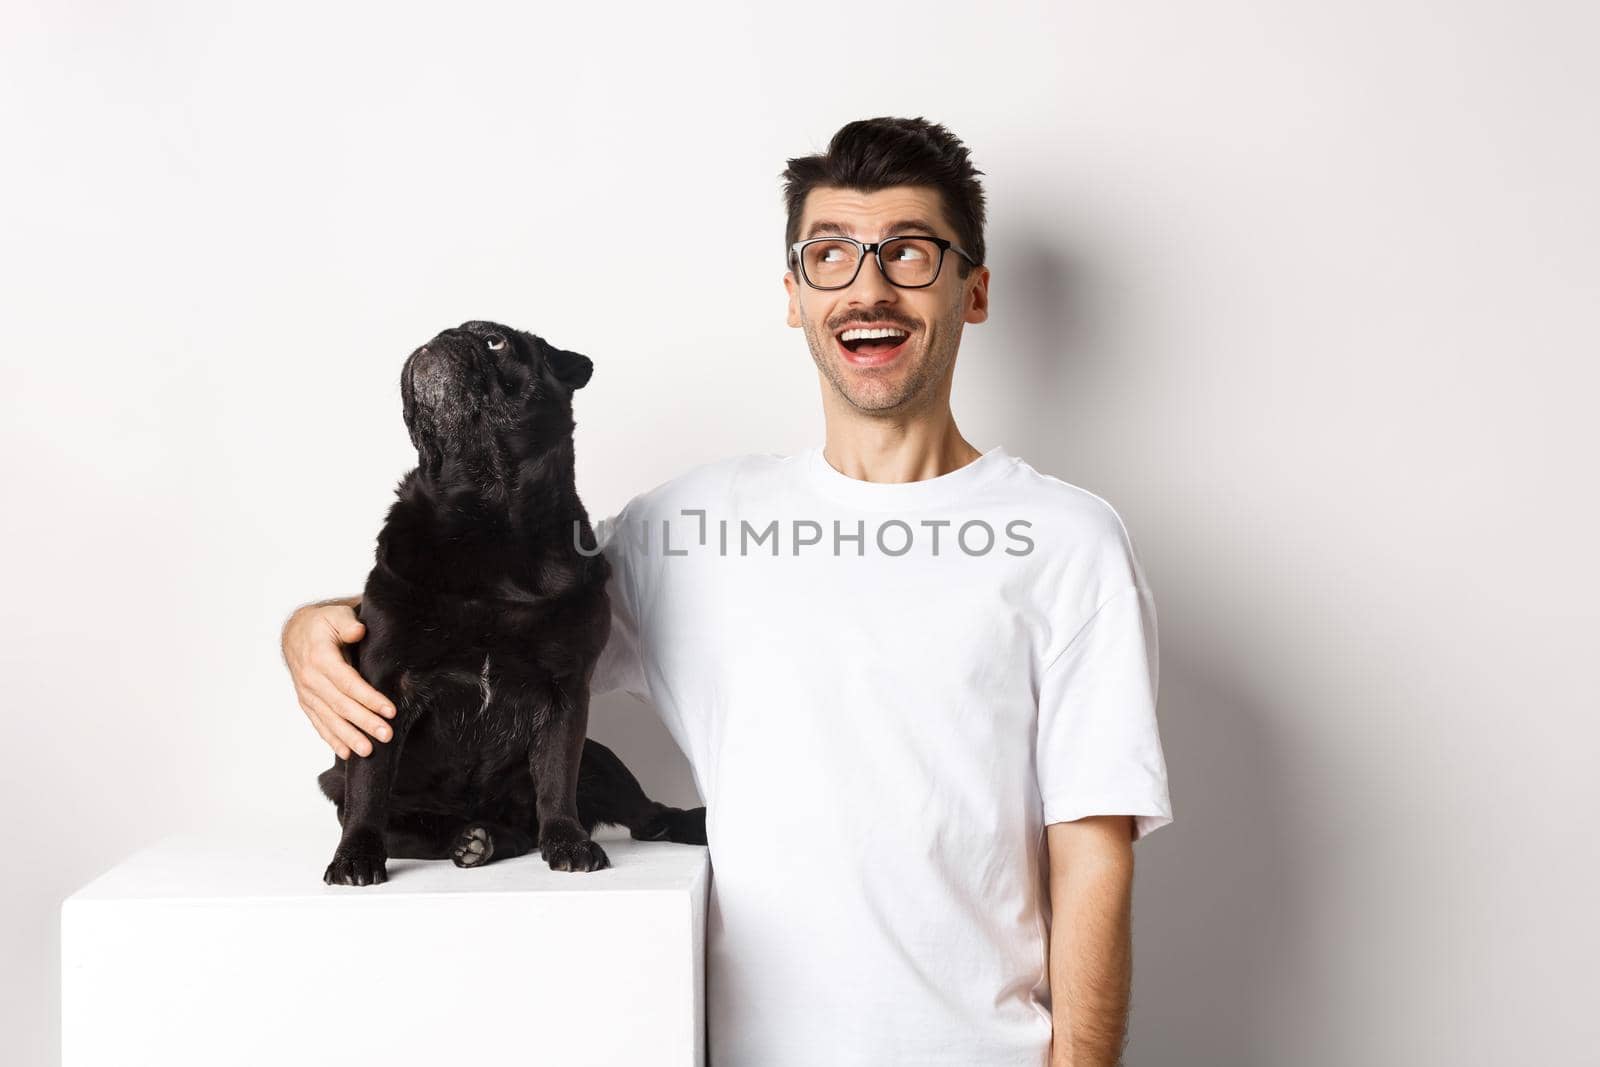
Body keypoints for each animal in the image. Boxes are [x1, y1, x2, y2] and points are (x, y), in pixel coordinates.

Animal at [318, 321, 707, 889]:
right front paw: (355, 856)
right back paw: (475, 839)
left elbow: (557, 779)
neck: (483, 513)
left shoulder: (566, 694)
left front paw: (568, 841)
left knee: (644, 817)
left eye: (495, 342)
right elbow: (370, 782)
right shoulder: (382, 690)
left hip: (602, 758)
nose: (440, 336)